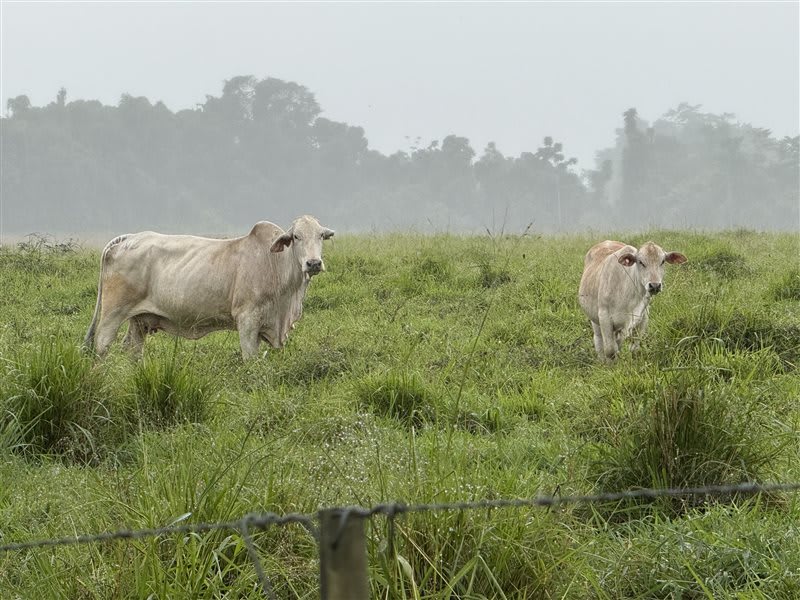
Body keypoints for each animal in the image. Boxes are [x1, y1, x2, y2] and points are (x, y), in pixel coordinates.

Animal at [83, 215, 334, 359]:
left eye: (321, 236)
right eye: (296, 237)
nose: (313, 263)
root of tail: (127, 238)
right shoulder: (247, 320)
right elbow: (250, 358)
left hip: (139, 320)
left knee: (133, 350)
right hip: (112, 312)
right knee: (102, 346)